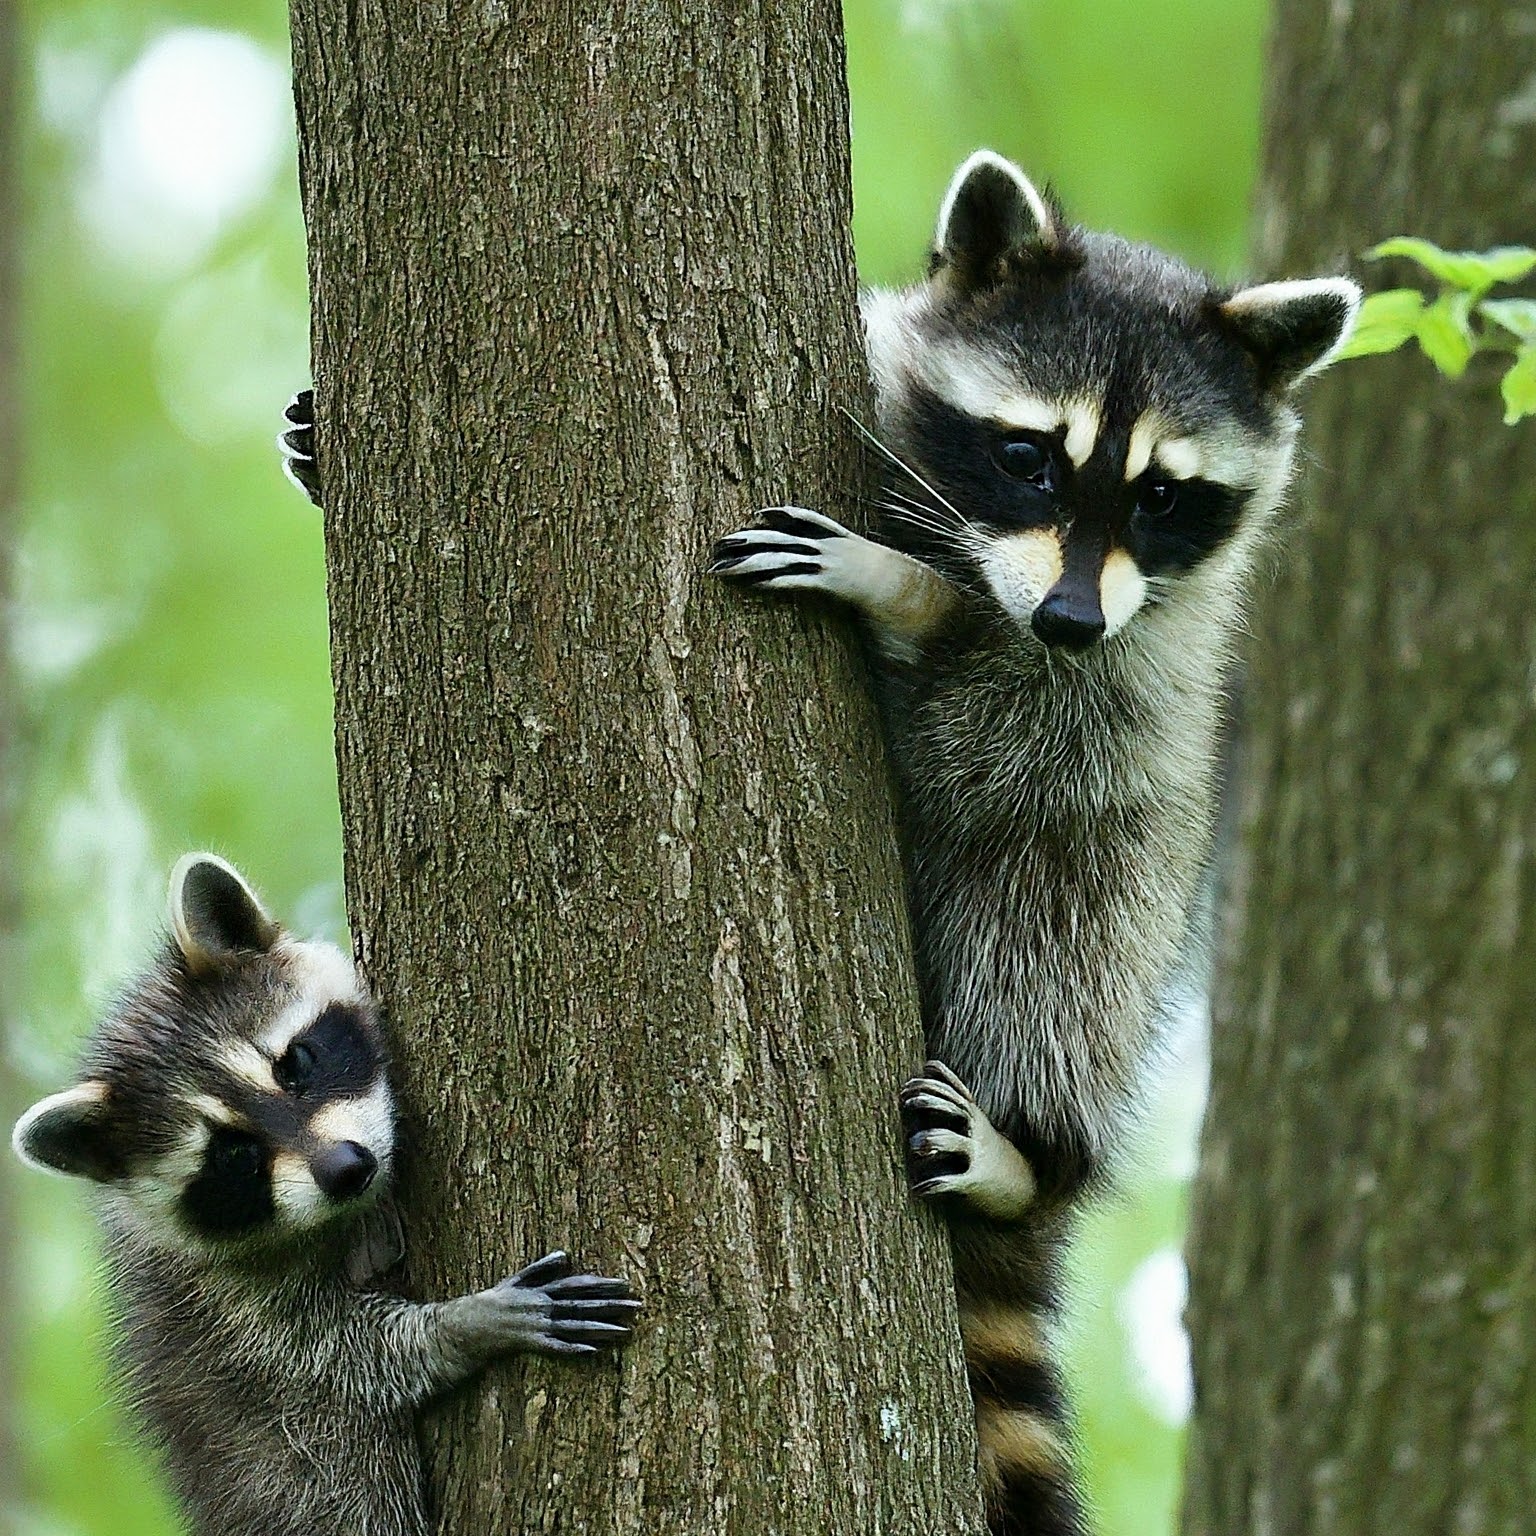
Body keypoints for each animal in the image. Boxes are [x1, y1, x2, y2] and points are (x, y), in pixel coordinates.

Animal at [13, 854, 635, 1536]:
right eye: (234, 1156)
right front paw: (462, 1325)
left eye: (295, 1065)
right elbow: (344, 1362)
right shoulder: (232, 1307)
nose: (347, 1170)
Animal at [706, 146, 1357, 1536]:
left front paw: (909, 594)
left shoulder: (1136, 673)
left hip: (1125, 881)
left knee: (1058, 962)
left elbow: (1002, 717)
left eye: (1163, 496)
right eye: (1028, 459)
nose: (1063, 616)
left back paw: (1028, 1157)